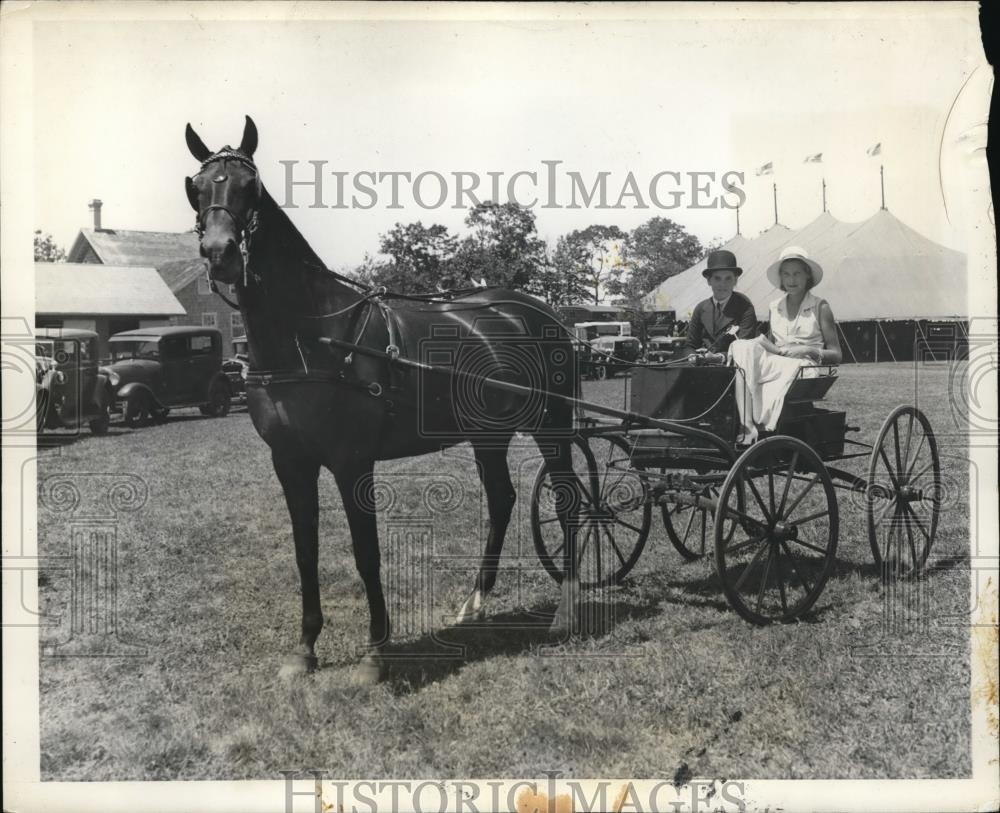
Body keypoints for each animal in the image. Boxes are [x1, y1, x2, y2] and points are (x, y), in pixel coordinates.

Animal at [184, 116, 584, 680]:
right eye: (198, 187)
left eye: (250, 186)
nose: (219, 253)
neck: (314, 337)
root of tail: (543, 312)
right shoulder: (290, 462)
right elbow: (305, 552)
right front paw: (305, 649)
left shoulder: (352, 462)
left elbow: (365, 551)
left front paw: (377, 652)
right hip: (488, 433)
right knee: (503, 500)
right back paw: (475, 603)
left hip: (552, 423)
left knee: (567, 499)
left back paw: (566, 612)